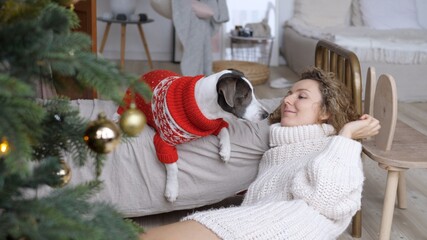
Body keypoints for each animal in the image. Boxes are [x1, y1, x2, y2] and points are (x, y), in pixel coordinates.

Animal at [115, 69, 270, 202]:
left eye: (253, 94)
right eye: (244, 96)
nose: (266, 114)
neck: (204, 105)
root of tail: (145, 74)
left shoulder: (214, 124)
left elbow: (225, 131)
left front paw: (225, 151)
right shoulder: (164, 141)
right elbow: (173, 166)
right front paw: (172, 189)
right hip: (128, 103)